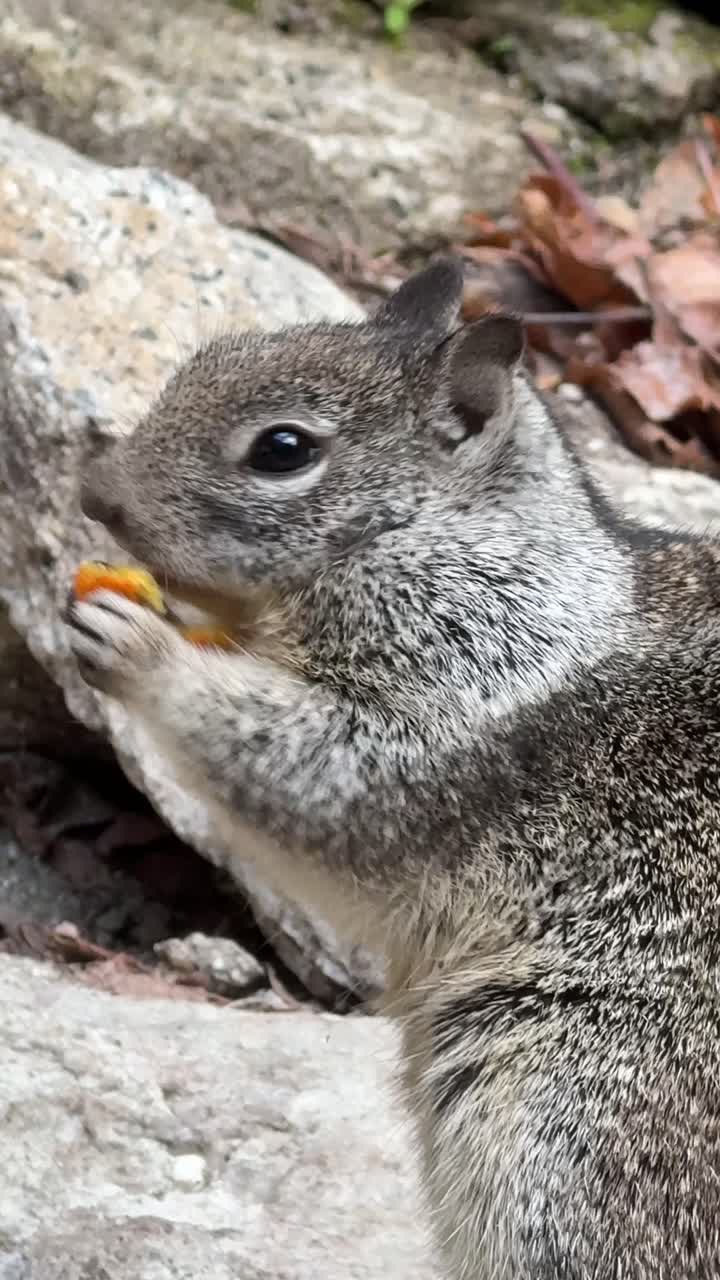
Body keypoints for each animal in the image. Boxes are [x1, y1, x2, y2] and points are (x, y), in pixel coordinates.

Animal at [67, 258, 720, 1279]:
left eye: (283, 449)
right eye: (208, 356)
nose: (96, 493)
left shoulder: (439, 715)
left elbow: (304, 776)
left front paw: (140, 648)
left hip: (567, 1132)